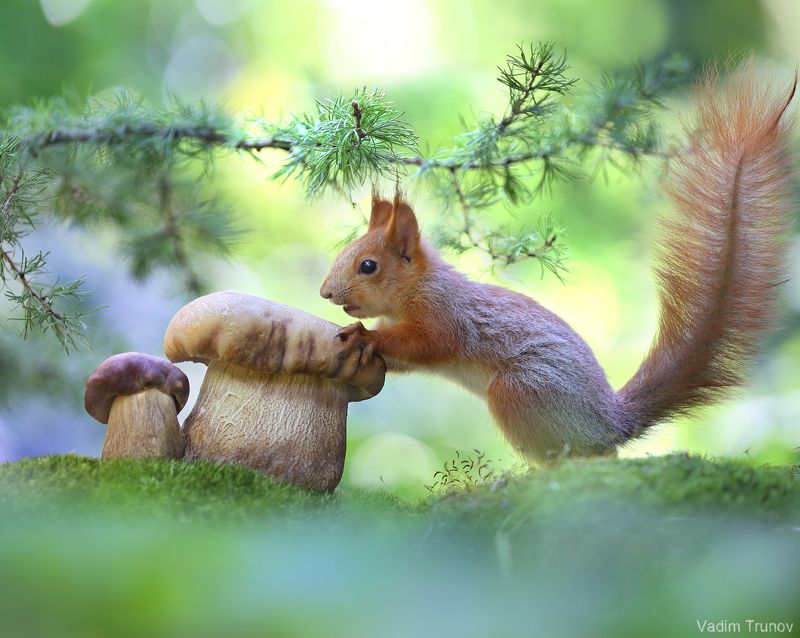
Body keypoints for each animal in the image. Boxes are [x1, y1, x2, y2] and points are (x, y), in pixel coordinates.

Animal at [319, 66, 797, 462]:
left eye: (367, 266)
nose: (326, 293)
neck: (414, 289)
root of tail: (609, 423)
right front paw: (359, 334)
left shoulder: (445, 313)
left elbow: (428, 343)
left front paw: (366, 335)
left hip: (521, 391)